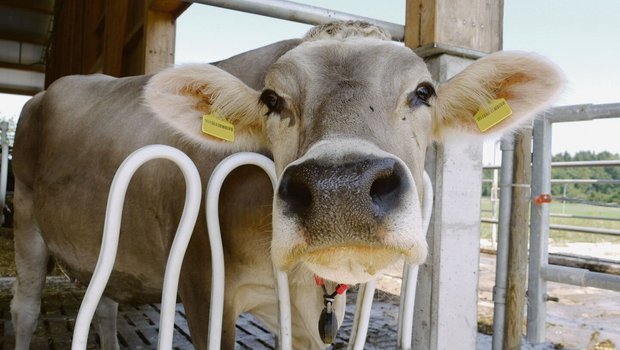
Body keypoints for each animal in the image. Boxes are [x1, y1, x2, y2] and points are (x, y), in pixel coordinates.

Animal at [10, 20, 560, 348]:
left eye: (424, 92)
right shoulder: (201, 282)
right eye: (271, 100)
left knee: (102, 305)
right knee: (25, 307)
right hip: (26, 218)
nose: (342, 191)